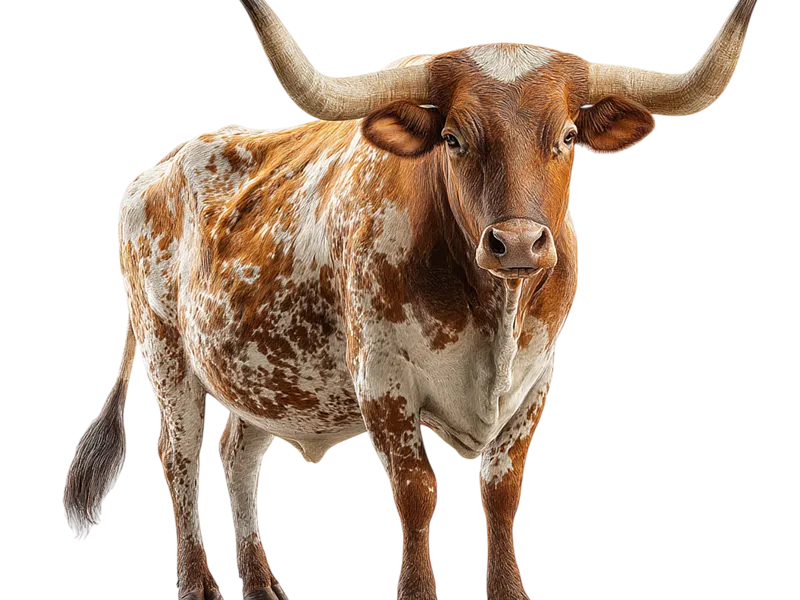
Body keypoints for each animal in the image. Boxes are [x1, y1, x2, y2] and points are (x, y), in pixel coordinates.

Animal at [63, 1, 758, 598]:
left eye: (565, 135)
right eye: (452, 138)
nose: (518, 243)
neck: (492, 315)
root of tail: (160, 167)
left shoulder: (535, 381)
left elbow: (502, 491)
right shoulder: (383, 380)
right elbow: (418, 490)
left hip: (260, 375)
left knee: (240, 456)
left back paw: (262, 585)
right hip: (167, 349)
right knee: (179, 457)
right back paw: (198, 584)